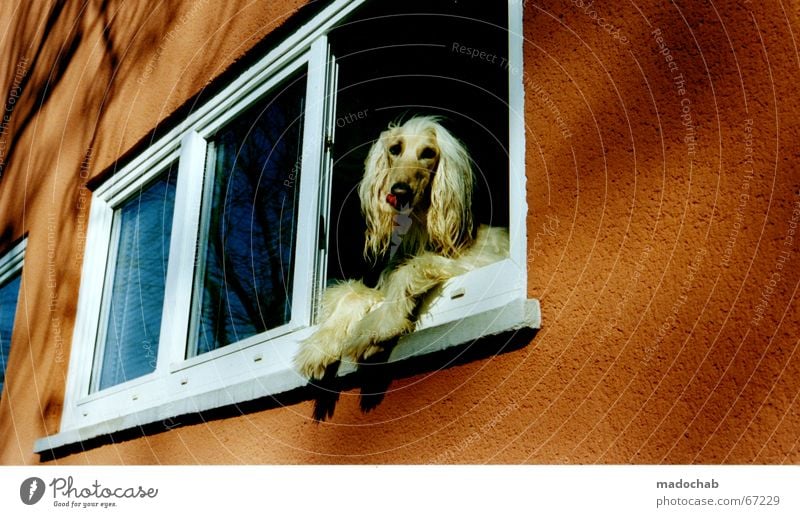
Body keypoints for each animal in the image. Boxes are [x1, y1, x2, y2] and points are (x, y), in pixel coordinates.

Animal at [294, 115, 506, 376]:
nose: (399, 192)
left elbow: (410, 269)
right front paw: (320, 344)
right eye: (395, 149)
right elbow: (352, 294)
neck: (420, 231)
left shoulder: (482, 260)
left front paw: (377, 327)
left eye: (428, 152)